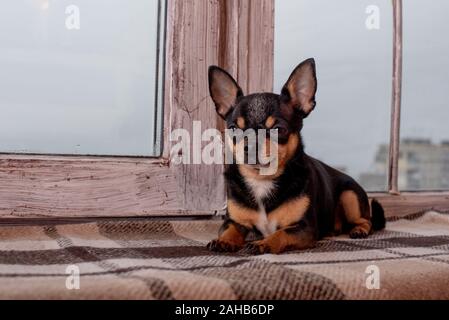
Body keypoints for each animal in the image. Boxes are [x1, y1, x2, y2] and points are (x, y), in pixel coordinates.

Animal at [206, 58, 384, 255]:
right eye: (233, 129)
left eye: (279, 129)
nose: (249, 146)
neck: (261, 180)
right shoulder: (234, 221)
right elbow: (230, 230)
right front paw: (223, 240)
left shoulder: (303, 228)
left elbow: (281, 233)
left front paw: (264, 243)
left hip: (350, 195)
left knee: (367, 221)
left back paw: (359, 230)